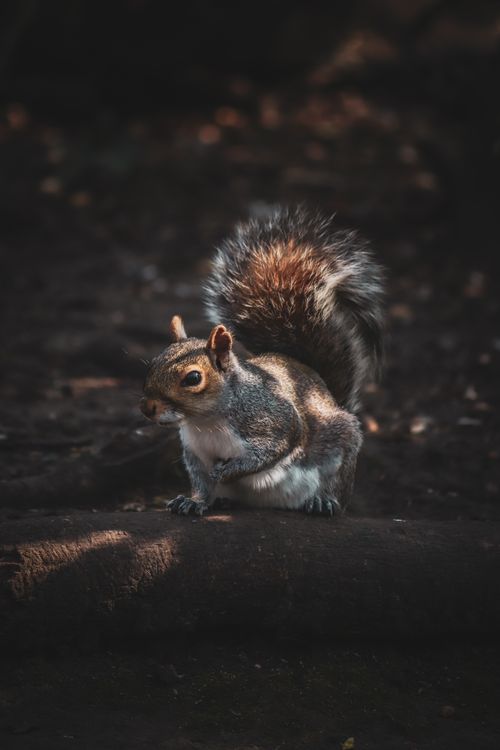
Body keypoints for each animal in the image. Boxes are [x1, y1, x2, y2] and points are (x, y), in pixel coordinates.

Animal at [140, 206, 384, 516]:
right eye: (153, 363)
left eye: (193, 378)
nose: (147, 408)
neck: (205, 422)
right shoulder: (195, 453)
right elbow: (201, 483)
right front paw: (193, 500)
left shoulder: (275, 420)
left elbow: (271, 450)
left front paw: (227, 471)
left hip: (341, 446)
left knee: (338, 488)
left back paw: (323, 500)